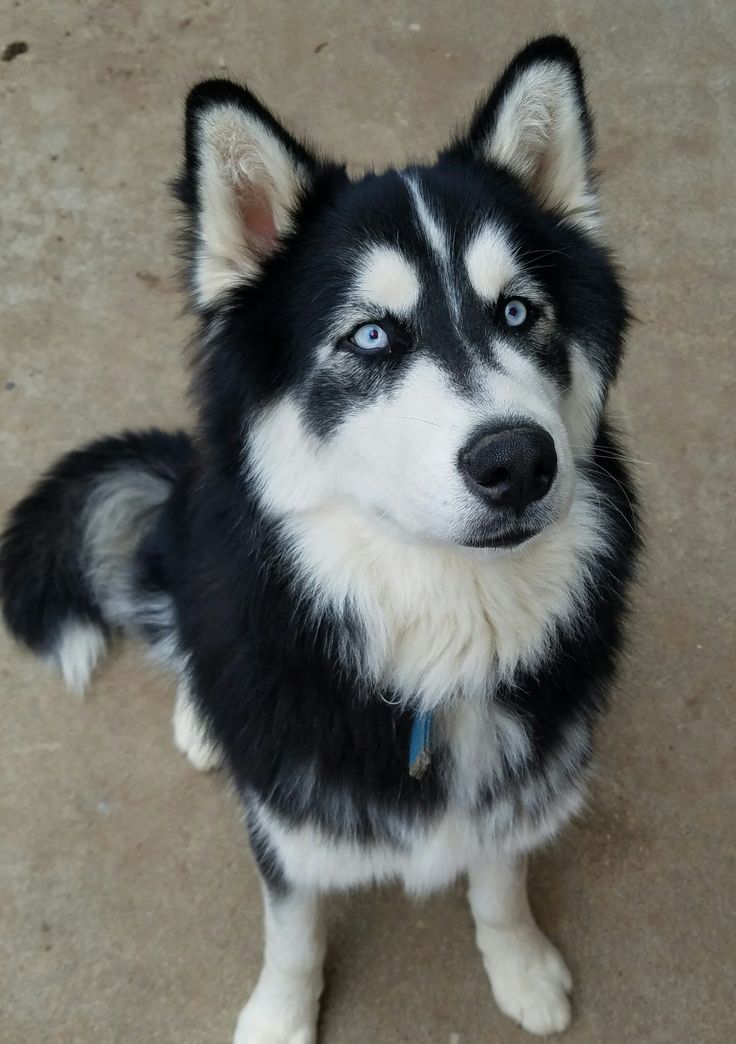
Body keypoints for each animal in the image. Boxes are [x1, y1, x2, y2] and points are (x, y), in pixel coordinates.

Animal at [1, 34, 638, 1044]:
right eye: (371, 337)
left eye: (517, 312)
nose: (518, 461)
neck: (438, 629)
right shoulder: (285, 819)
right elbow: (292, 928)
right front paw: (280, 1016)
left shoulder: (515, 786)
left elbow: (500, 881)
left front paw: (521, 966)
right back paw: (201, 715)